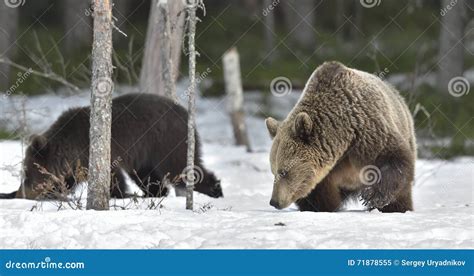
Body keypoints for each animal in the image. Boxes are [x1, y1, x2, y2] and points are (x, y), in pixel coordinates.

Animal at [0, 94, 222, 199]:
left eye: (27, 172)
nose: (23, 192)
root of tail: (185, 113)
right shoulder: (76, 165)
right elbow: (67, 183)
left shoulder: (94, 153)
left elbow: (112, 178)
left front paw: (118, 194)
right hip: (145, 155)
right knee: (148, 176)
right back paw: (152, 193)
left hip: (165, 141)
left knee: (181, 168)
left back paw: (215, 189)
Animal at [264, 61, 416, 212]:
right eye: (273, 171)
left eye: (284, 172)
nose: (274, 202)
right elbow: (319, 192)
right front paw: (320, 207)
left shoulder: (367, 131)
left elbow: (391, 158)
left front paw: (372, 195)